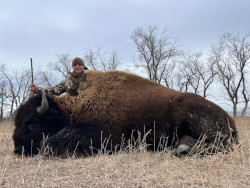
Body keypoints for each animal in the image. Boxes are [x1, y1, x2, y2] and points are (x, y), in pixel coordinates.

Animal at [12, 70, 238, 156]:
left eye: (31, 122)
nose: (16, 148)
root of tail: (229, 118)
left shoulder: (106, 138)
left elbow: (54, 141)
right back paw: (180, 148)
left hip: (198, 122)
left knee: (219, 145)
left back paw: (182, 149)